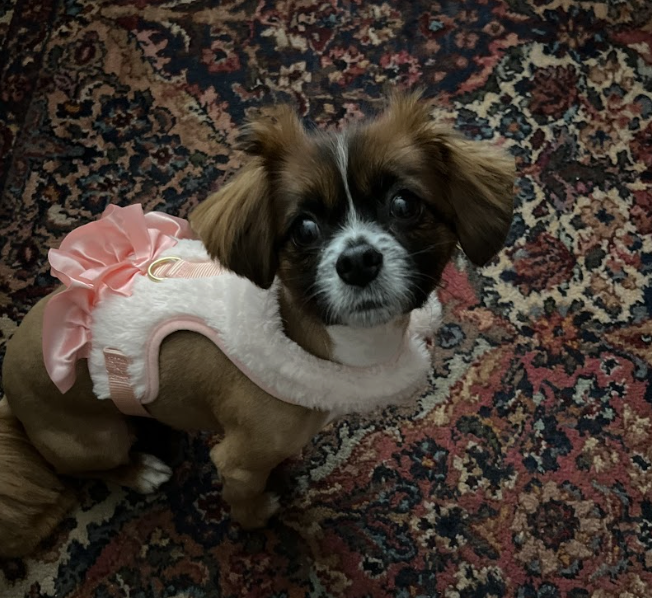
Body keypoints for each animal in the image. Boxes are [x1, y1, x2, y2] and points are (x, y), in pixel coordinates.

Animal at [0, 92, 515, 557]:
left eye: (405, 204)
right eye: (304, 228)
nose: (357, 260)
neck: (307, 336)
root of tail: (10, 396)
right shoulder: (238, 461)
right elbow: (244, 495)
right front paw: (259, 515)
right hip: (98, 439)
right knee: (86, 469)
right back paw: (140, 471)